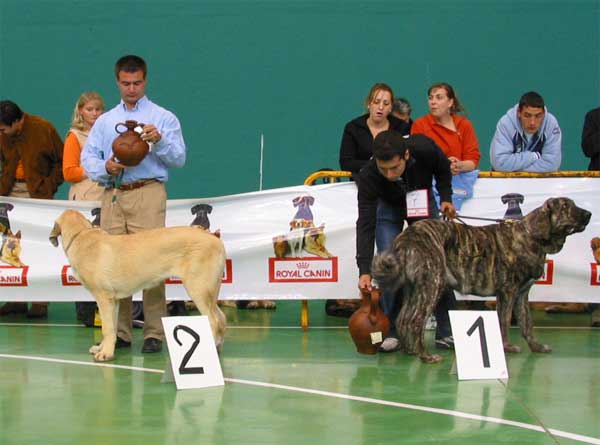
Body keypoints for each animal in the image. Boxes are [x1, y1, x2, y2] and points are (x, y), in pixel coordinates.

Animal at [49, 209, 226, 360]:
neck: (80, 235)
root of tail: (214, 237)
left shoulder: (104, 298)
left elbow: (107, 328)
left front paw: (106, 353)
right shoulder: (113, 301)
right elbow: (112, 327)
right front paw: (104, 348)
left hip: (198, 289)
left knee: (214, 320)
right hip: (210, 292)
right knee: (221, 318)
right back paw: (217, 347)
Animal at [370, 196, 592, 362]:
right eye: (565, 206)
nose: (589, 214)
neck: (531, 236)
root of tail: (406, 236)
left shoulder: (522, 295)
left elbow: (527, 324)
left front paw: (536, 347)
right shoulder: (508, 293)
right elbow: (504, 323)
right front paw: (506, 347)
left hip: (415, 290)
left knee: (403, 318)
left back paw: (411, 350)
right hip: (433, 285)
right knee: (416, 321)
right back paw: (426, 356)